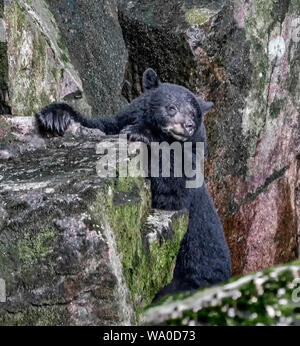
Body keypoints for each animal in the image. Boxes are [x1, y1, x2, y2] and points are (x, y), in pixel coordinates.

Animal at [35, 68, 232, 300]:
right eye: (171, 107)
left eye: (194, 114)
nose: (188, 126)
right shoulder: (116, 123)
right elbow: (102, 126)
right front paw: (57, 115)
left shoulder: (189, 169)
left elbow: (174, 189)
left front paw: (141, 132)